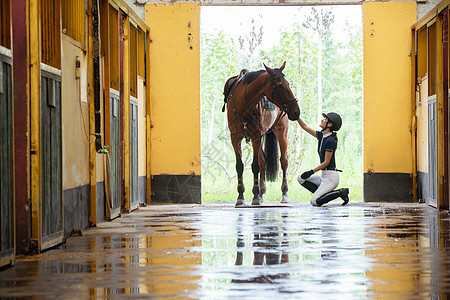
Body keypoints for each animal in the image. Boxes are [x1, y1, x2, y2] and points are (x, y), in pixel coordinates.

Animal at [223, 61, 300, 206]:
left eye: (288, 83)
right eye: (280, 86)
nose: (296, 111)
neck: (243, 104)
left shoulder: (256, 137)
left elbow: (255, 166)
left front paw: (254, 196)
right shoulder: (235, 138)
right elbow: (240, 166)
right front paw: (241, 196)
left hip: (282, 133)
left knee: (284, 161)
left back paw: (284, 193)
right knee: (263, 160)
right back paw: (261, 192)